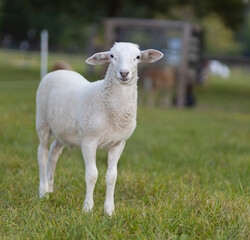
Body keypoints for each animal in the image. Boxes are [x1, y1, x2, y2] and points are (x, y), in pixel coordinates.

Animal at [36, 41, 163, 216]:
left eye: (137, 57)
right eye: (112, 56)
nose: (124, 73)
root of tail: (58, 71)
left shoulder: (119, 143)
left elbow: (112, 176)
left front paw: (109, 210)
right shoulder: (88, 140)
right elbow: (92, 175)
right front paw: (87, 208)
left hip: (63, 132)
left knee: (54, 153)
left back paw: (50, 189)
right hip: (42, 121)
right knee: (42, 153)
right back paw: (43, 192)